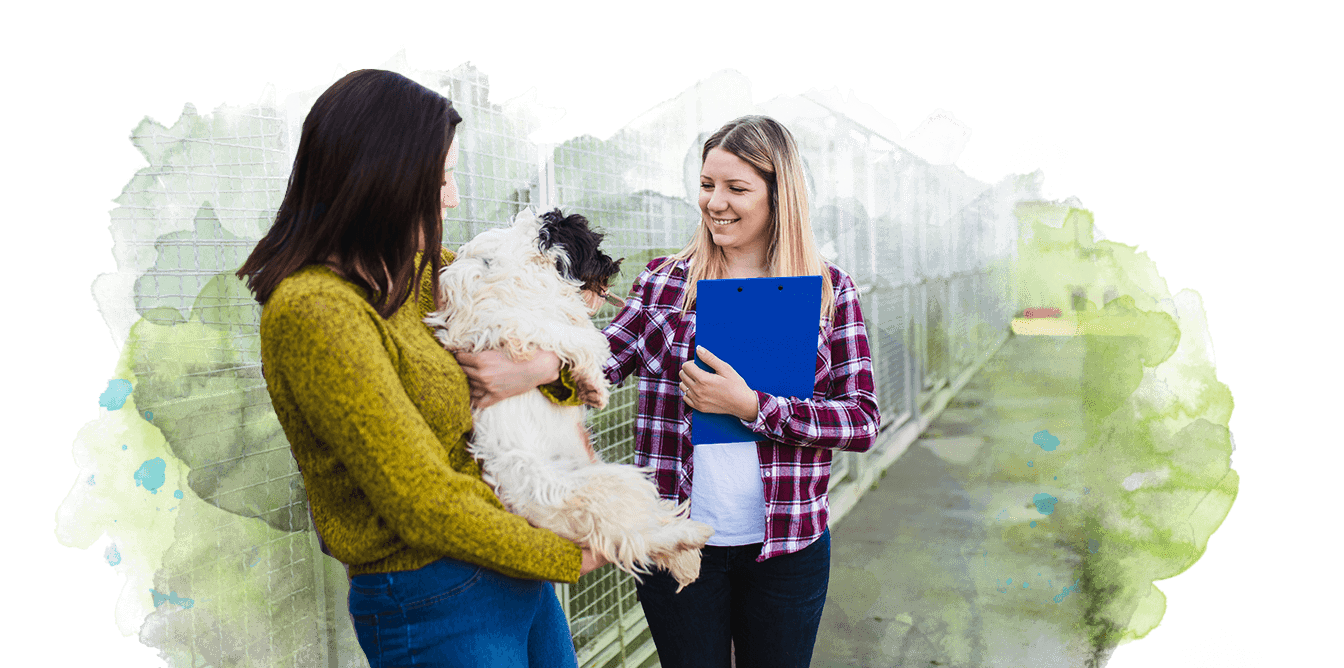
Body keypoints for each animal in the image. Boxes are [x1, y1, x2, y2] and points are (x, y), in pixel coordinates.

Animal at [427, 206, 715, 588]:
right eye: (595, 248)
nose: (614, 265)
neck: (526, 261)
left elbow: (582, 335)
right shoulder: (511, 324)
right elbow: (584, 338)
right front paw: (594, 387)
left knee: (643, 528)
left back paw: (688, 550)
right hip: (606, 486)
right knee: (639, 535)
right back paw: (691, 536)